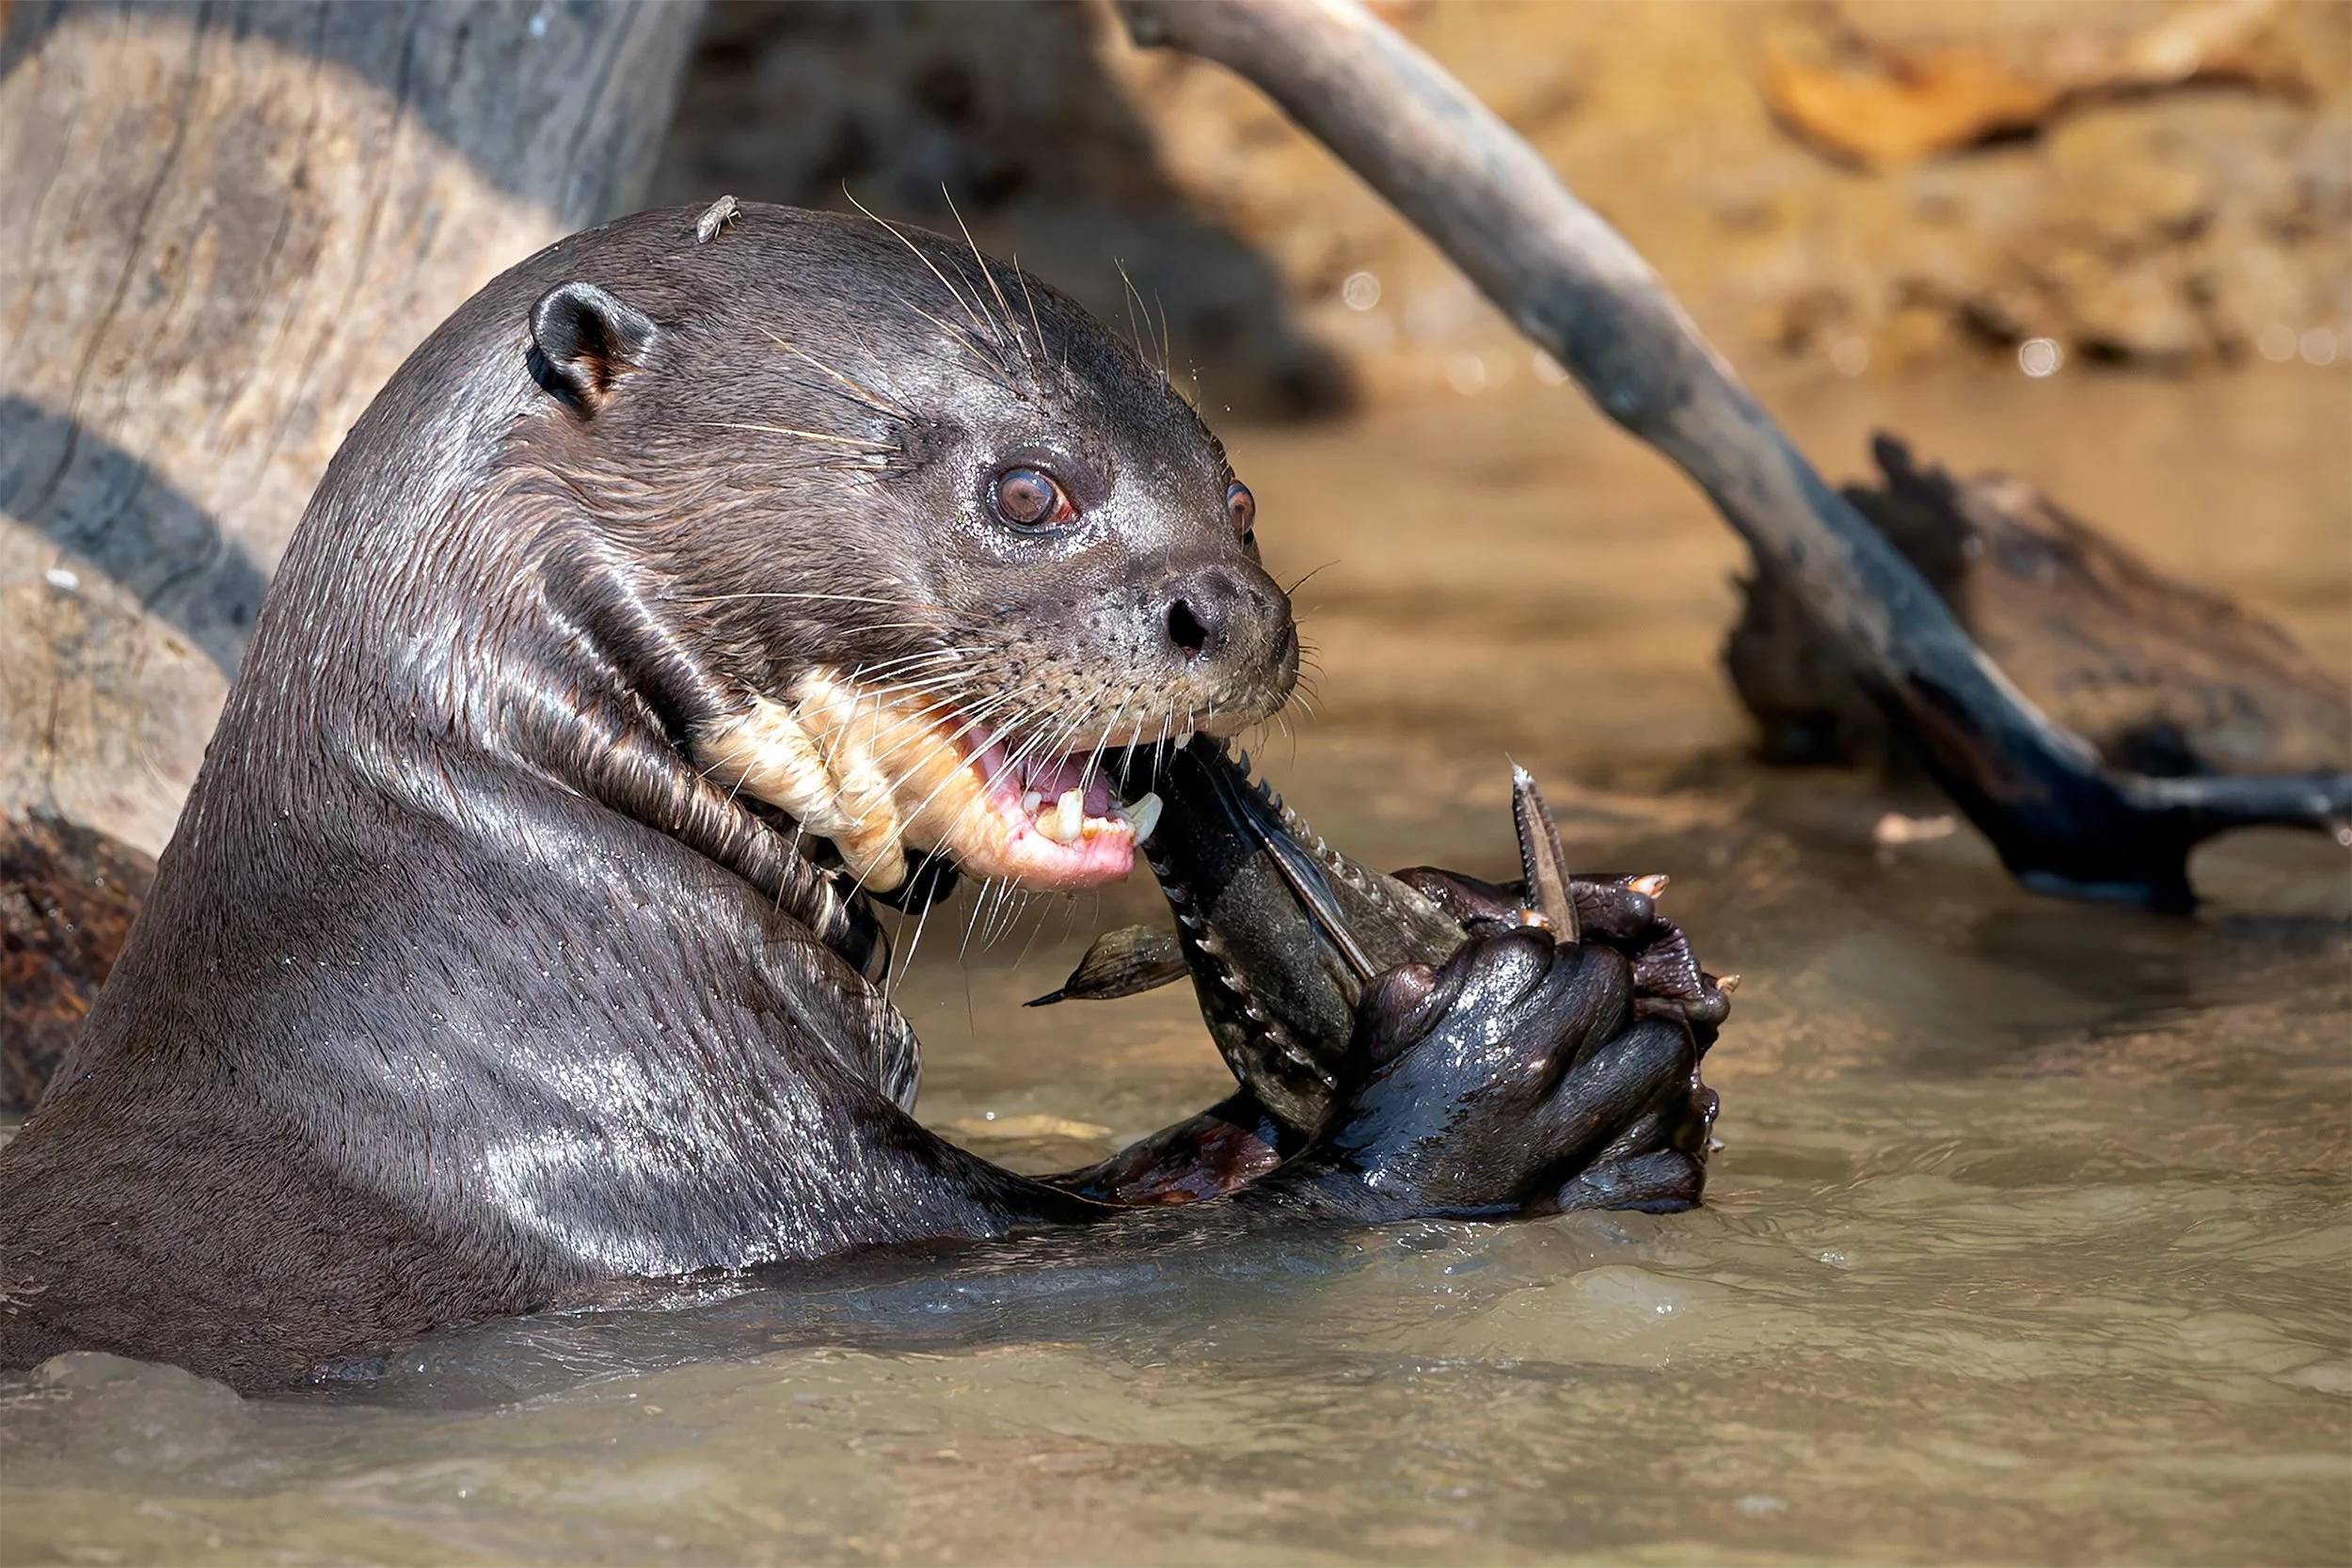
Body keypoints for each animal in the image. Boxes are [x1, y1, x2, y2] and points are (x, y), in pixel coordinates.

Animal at [0, 204, 1712, 1392]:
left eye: (1239, 495)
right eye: (1029, 489)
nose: (1234, 611)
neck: (481, 937)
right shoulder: (693, 1192)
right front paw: (1520, 1056)